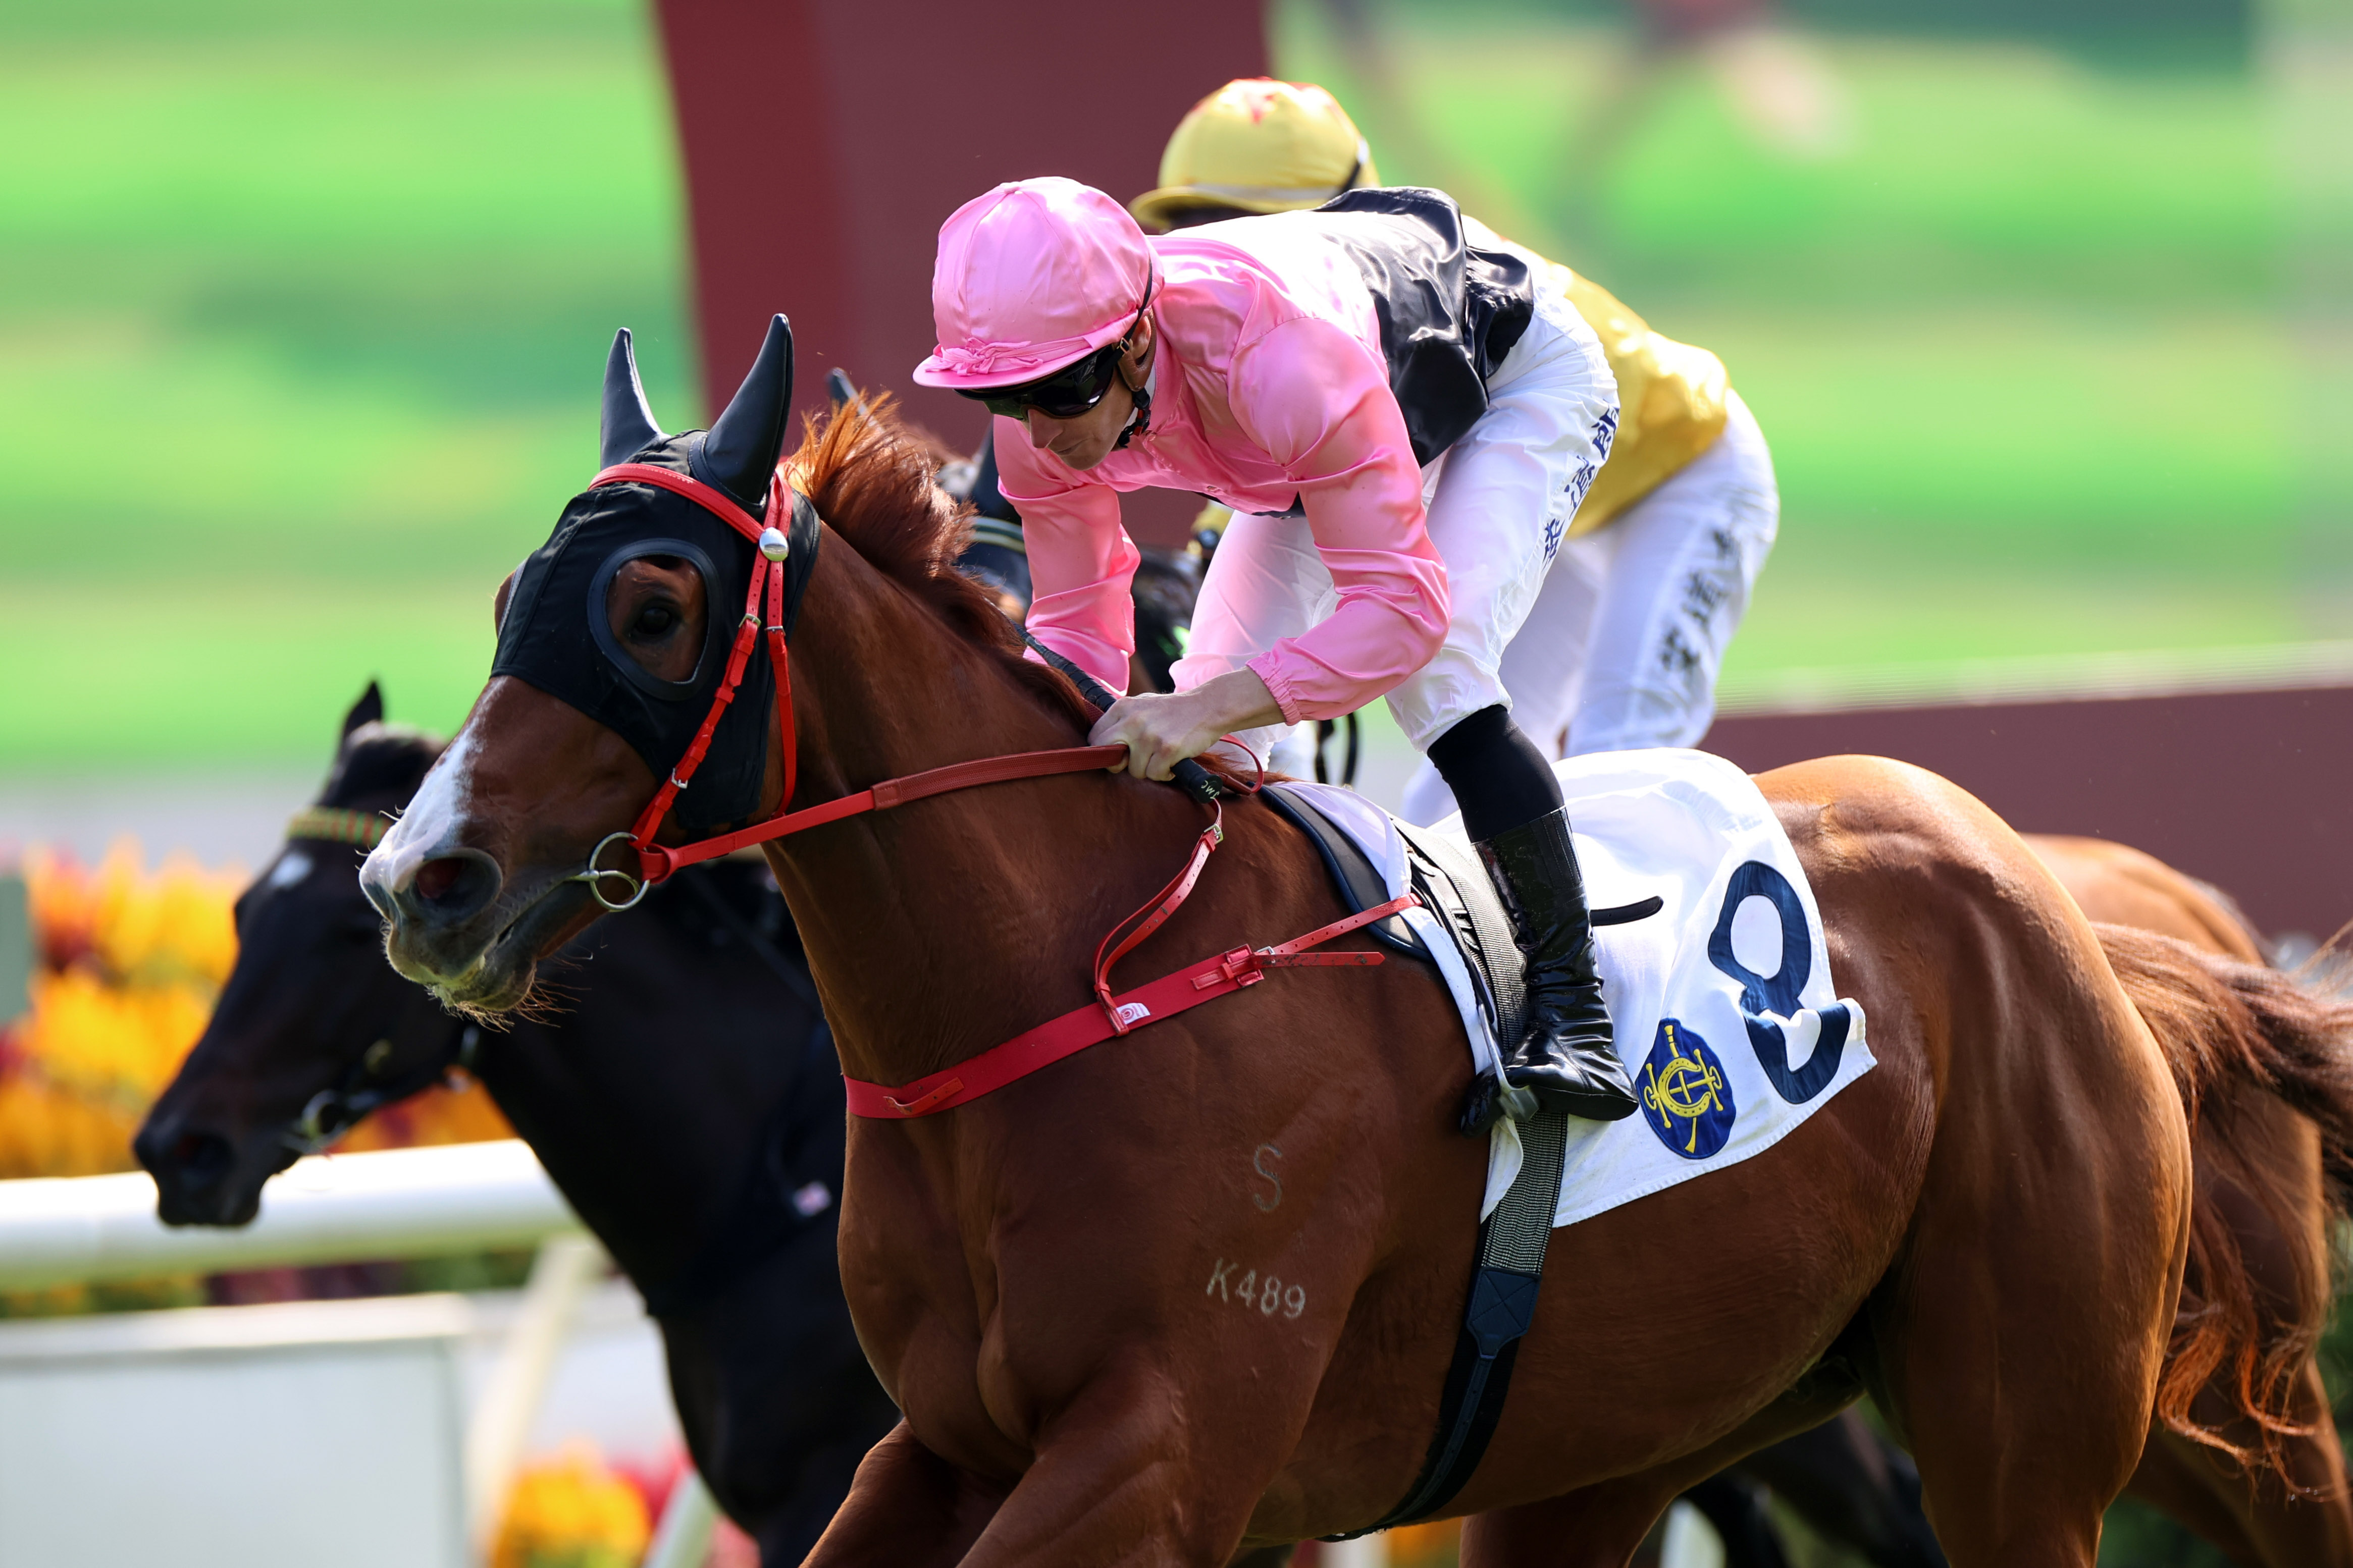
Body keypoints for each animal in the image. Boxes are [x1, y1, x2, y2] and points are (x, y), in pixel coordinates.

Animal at [357, 319, 2352, 1566]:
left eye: (651, 604)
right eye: (509, 598)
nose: (418, 879)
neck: (1066, 996)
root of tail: (2082, 925)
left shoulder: (1161, 1458)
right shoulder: (932, 1445)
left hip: (2034, 1418)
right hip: (1629, 1442)